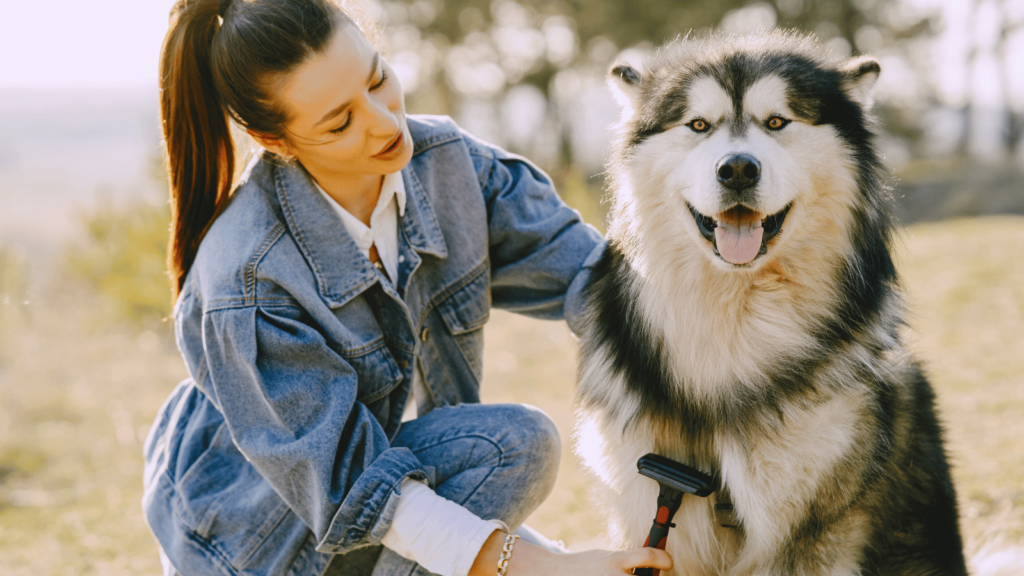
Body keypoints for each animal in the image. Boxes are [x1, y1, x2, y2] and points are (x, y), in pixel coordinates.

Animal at [577, 32, 966, 573]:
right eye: (698, 125)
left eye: (777, 122)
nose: (738, 168)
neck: (737, 317)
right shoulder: (653, 511)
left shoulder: (808, 531)